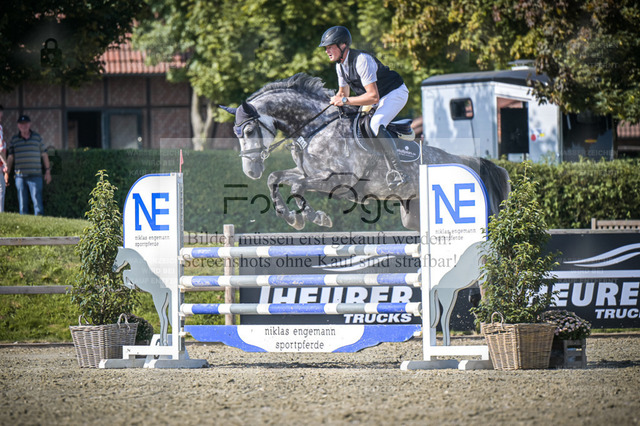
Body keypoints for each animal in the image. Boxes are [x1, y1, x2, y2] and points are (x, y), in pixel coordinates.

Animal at [220, 73, 510, 231]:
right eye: (236, 133)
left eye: (248, 131)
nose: (251, 171)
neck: (315, 127)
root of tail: (461, 160)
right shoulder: (306, 172)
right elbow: (276, 179)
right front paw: (295, 220)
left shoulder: (338, 180)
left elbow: (296, 187)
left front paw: (316, 218)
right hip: (413, 215)